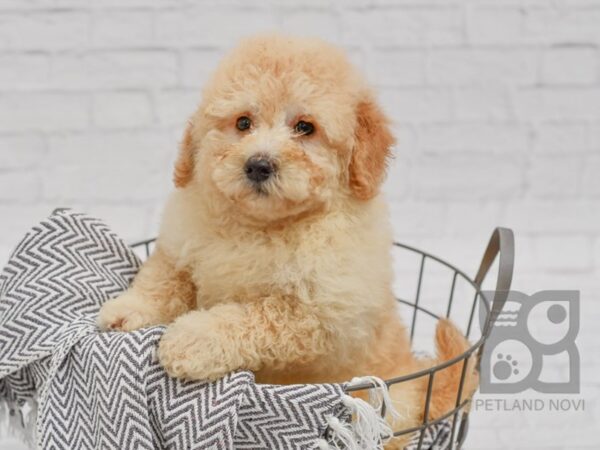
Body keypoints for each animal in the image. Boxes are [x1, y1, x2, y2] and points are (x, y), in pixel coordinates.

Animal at [96, 34, 476, 446]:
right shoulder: (182, 243)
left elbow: (252, 316)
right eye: (243, 122)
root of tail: (421, 383)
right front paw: (127, 310)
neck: (263, 227)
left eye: (305, 127)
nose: (258, 164)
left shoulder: (315, 313)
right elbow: (163, 279)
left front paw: (192, 338)